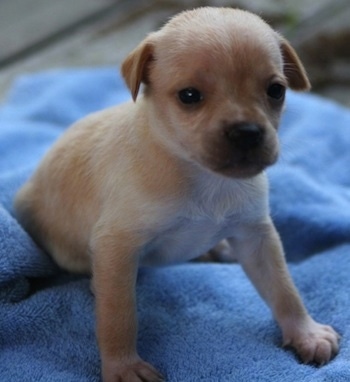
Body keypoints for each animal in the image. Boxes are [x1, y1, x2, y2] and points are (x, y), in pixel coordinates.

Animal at [15, 6, 340, 382]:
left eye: (276, 90)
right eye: (189, 96)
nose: (246, 132)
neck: (203, 178)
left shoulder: (256, 236)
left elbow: (285, 289)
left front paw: (306, 333)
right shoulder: (116, 247)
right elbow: (118, 316)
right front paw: (123, 366)